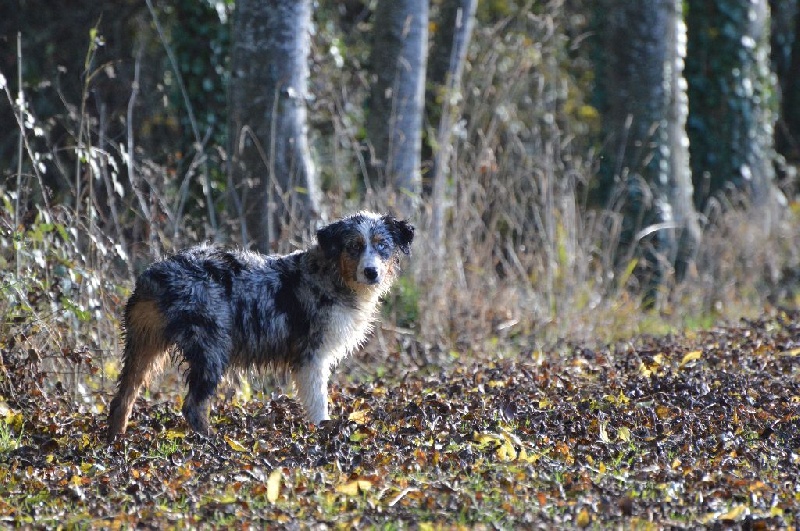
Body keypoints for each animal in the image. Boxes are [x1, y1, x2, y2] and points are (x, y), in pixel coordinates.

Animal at [105, 212, 412, 440]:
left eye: (382, 245)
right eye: (354, 246)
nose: (371, 272)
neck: (332, 274)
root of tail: (155, 275)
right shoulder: (311, 357)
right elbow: (317, 403)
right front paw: (323, 433)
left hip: (142, 346)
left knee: (122, 400)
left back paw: (115, 443)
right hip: (211, 350)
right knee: (192, 406)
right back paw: (214, 443)